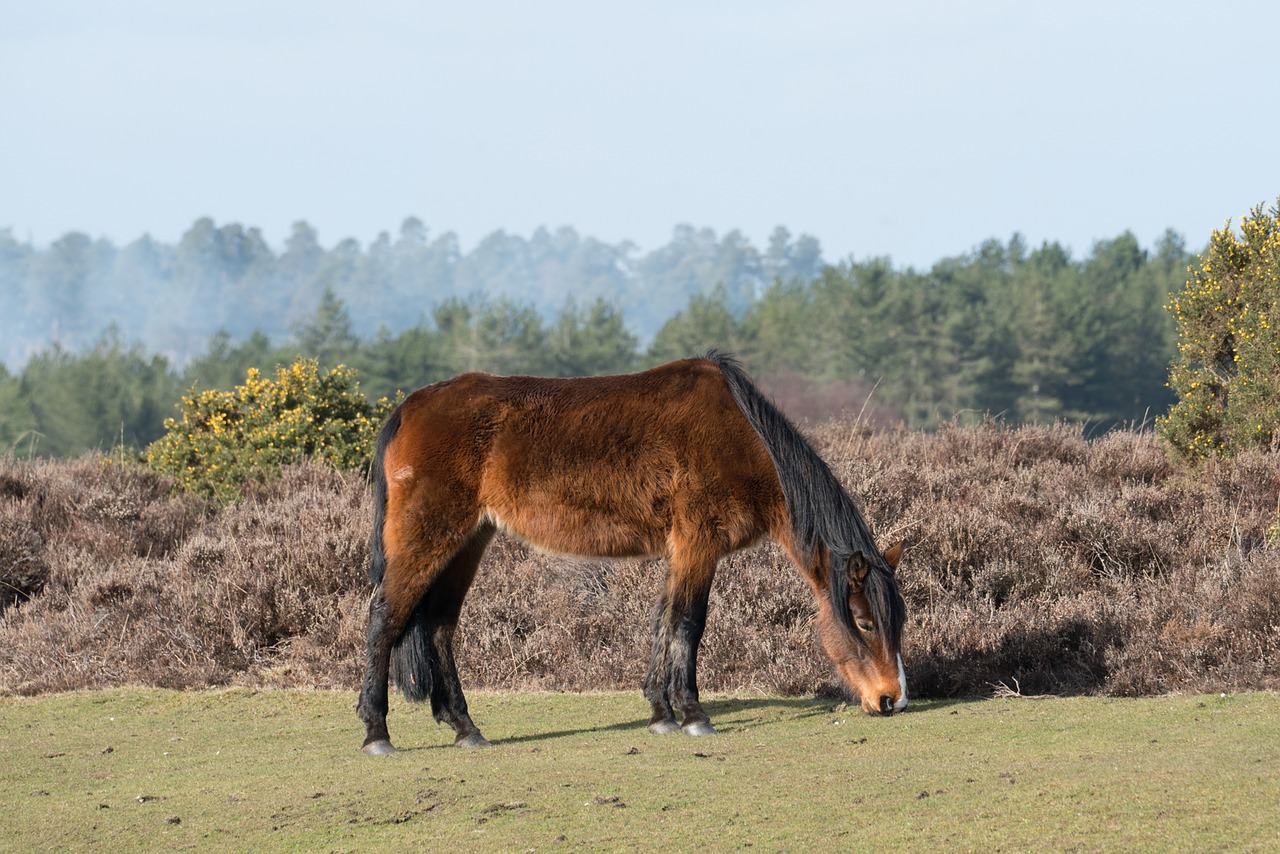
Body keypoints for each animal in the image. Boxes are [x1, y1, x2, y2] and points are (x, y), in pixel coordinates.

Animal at [355, 353, 906, 752]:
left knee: (439, 628)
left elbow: (664, 622)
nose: (892, 700)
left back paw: (465, 728)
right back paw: (377, 733)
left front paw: (661, 713)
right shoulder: (699, 543)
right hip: (429, 536)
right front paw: (693, 714)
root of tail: (409, 408)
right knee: (385, 617)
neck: (741, 437)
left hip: (468, 541)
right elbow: (688, 622)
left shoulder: (682, 549)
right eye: (863, 622)